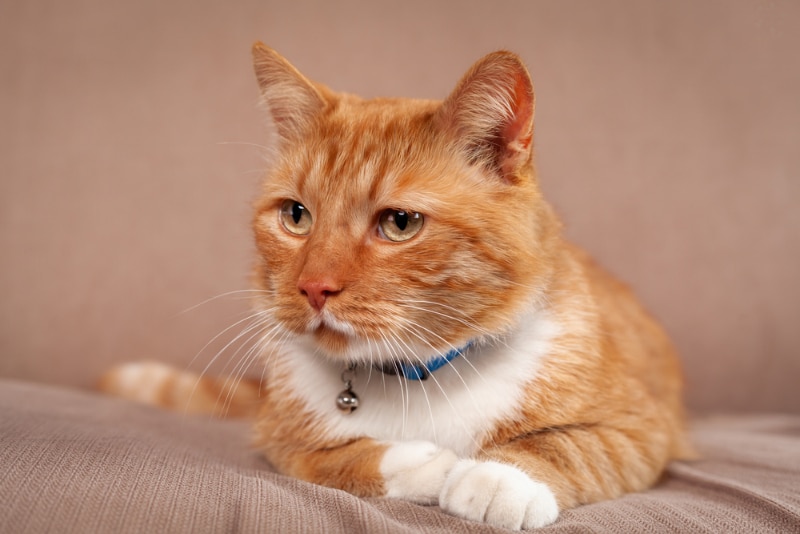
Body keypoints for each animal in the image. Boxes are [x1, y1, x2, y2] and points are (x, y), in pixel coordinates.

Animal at [98, 43, 688, 532]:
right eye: (296, 216)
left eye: (400, 223)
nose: (314, 287)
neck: (417, 379)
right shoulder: (278, 436)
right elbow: (332, 457)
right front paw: (425, 463)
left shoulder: (646, 427)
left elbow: (575, 446)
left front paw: (499, 478)